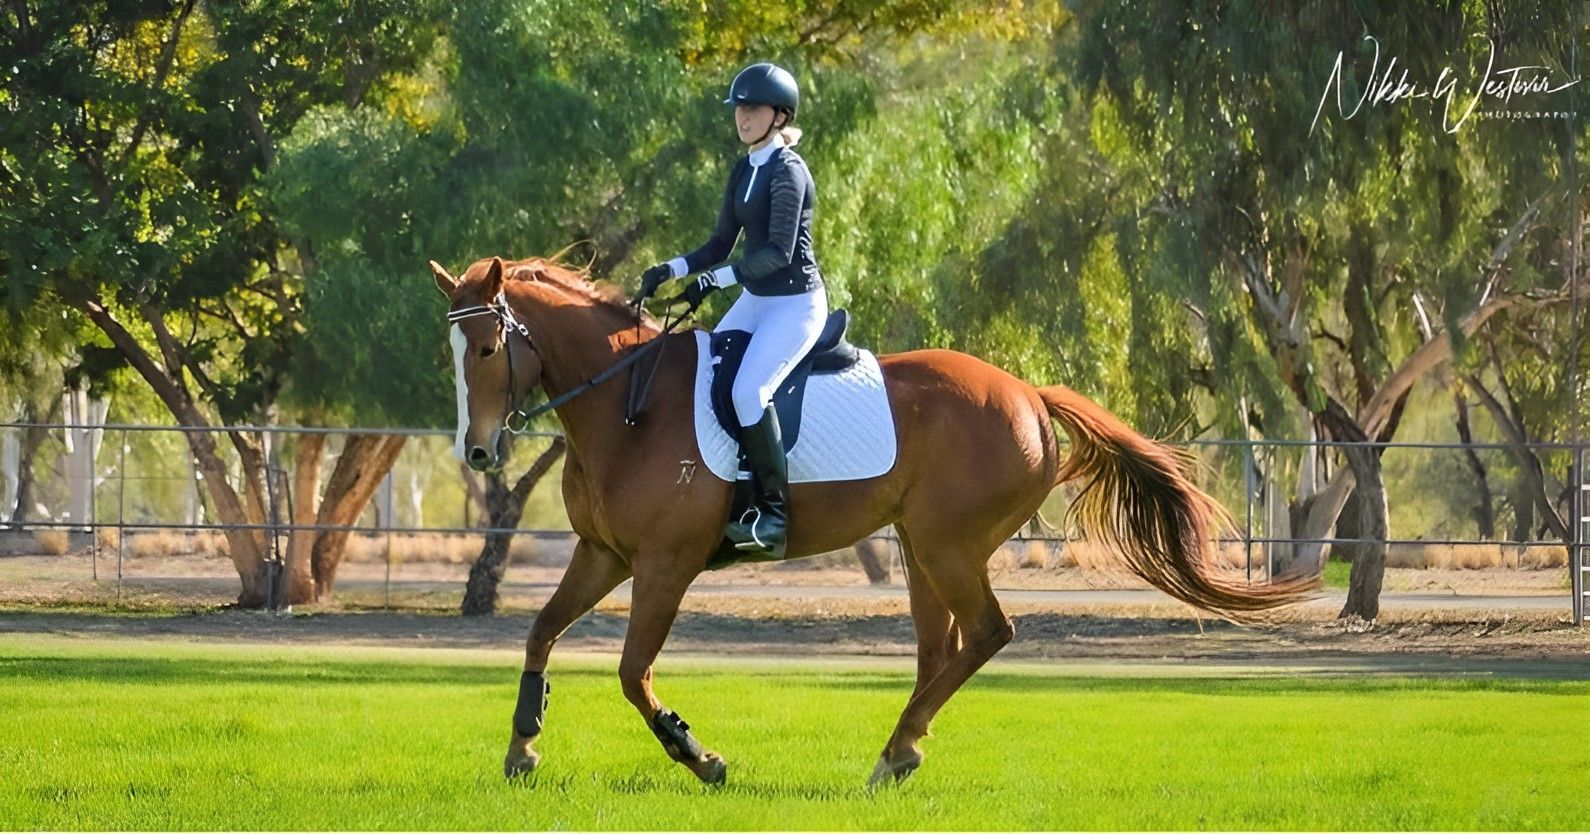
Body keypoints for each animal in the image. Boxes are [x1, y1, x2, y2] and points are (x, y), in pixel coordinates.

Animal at [430, 254, 1315, 788]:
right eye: (454, 354)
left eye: (487, 350)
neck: (626, 403)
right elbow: (540, 632)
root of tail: (1028, 394)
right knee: (941, 650)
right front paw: (522, 745)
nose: (476, 452)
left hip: (948, 547)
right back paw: (900, 749)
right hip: (921, 550)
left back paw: (896, 751)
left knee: (986, 634)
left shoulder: (664, 563)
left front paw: (701, 757)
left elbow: (630, 672)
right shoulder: (602, 553)